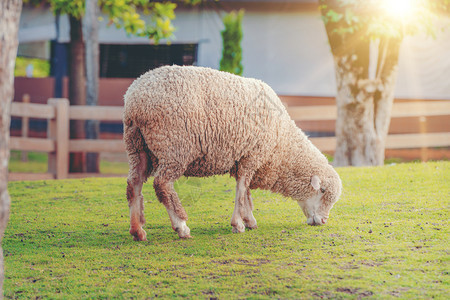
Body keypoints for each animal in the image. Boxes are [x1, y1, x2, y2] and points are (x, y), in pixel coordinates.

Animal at [123, 65, 342, 241]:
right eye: (322, 191)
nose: (323, 221)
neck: (281, 144)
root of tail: (134, 99)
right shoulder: (251, 156)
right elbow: (241, 192)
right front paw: (238, 224)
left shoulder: (247, 159)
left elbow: (246, 194)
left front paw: (250, 220)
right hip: (174, 146)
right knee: (162, 184)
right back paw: (181, 227)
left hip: (138, 147)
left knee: (134, 184)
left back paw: (138, 230)